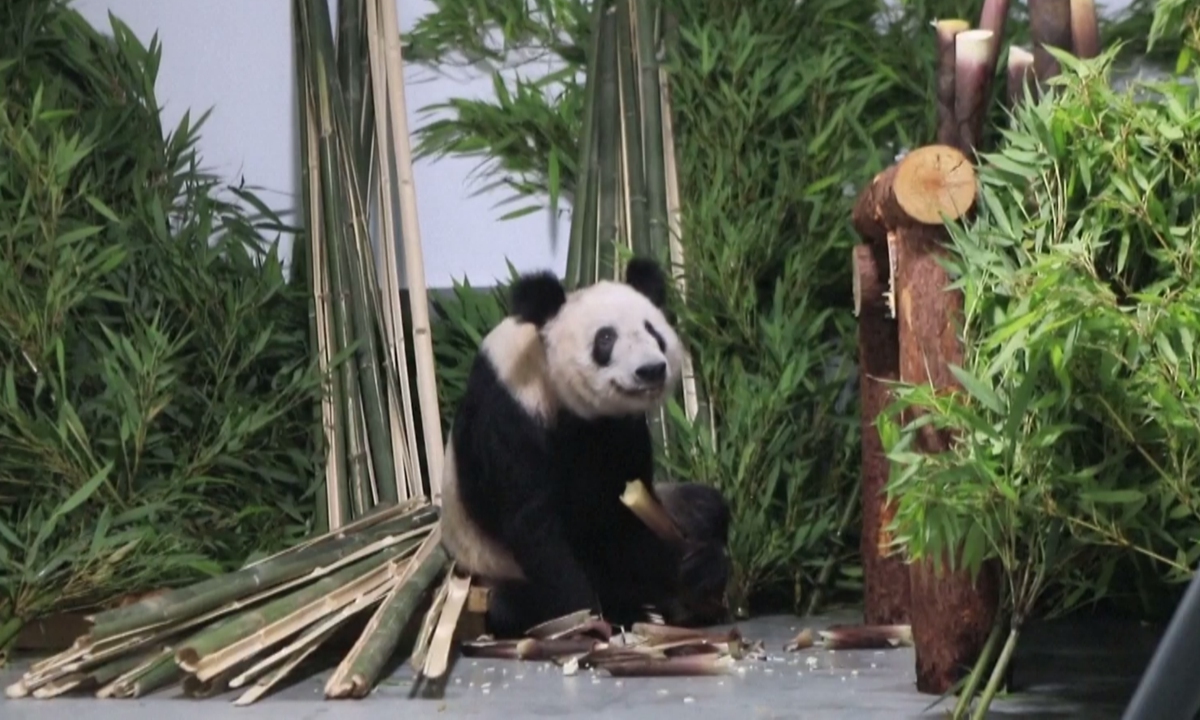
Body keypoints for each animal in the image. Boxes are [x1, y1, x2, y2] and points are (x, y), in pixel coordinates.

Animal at [438, 255, 732, 638]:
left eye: (653, 331)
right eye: (606, 338)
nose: (651, 370)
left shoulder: (620, 429)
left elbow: (622, 513)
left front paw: (689, 572)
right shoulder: (509, 413)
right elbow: (534, 525)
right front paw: (587, 616)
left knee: (705, 507)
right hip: (488, 568)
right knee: (509, 602)